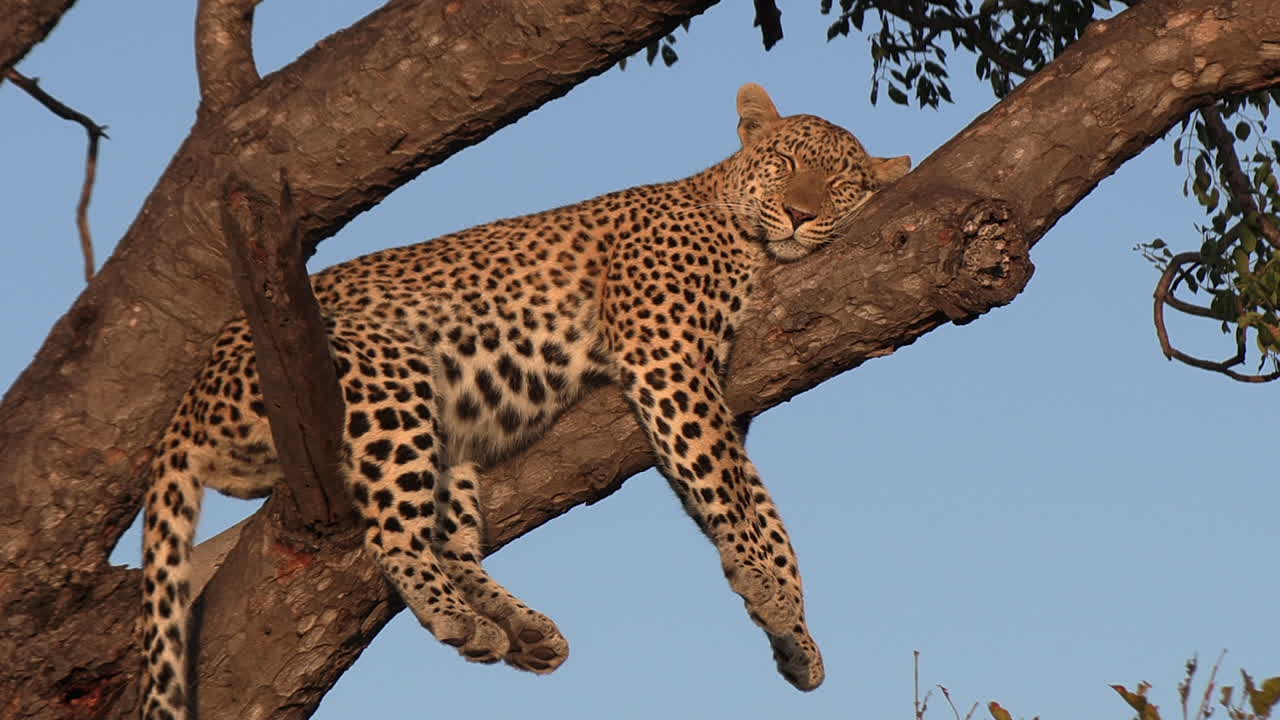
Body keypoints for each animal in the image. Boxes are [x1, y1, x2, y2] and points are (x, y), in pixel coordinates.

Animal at [140, 82, 910, 720]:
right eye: (784, 161)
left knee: (449, 541)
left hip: (445, 441)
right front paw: (764, 586)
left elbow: (763, 507)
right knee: (392, 534)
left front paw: (796, 637)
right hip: (388, 371)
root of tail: (190, 395)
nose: (799, 213)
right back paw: (460, 619)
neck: (738, 232)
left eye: (841, 182)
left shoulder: (710, 388)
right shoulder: (665, 357)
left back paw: (524, 631)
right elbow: (726, 484)